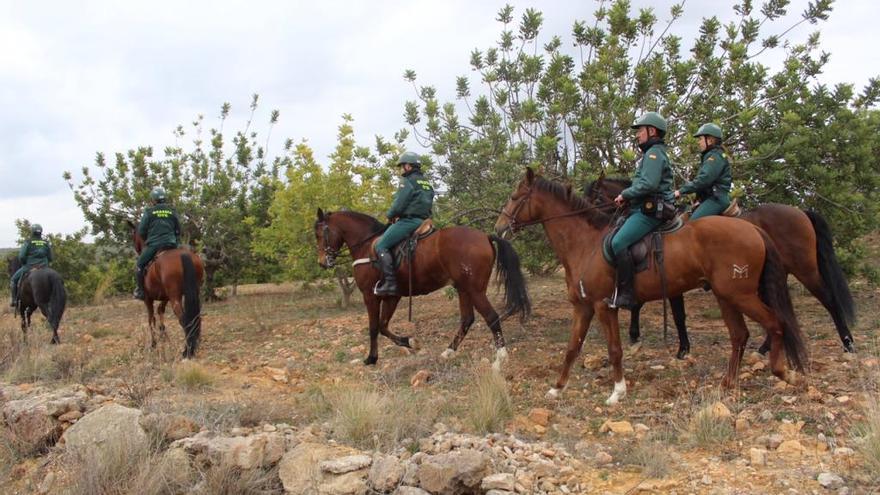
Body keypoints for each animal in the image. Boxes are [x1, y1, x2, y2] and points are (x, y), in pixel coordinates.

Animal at [125, 220, 205, 356]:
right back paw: (196, 343)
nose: (136, 249)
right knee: (195, 317)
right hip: (193, 293)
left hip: (175, 298)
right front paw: (163, 336)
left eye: (133, 234)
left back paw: (187, 350)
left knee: (184, 320)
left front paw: (153, 344)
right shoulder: (165, 297)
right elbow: (160, 310)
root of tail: (184, 254)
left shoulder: (148, 299)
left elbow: (151, 319)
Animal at [314, 207, 528, 366]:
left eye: (318, 234)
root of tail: (485, 236)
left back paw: (501, 356)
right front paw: (411, 342)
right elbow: (383, 326)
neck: (367, 246)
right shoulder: (392, 296)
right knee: (467, 319)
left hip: (475, 290)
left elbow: (374, 327)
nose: (323, 262)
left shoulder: (370, 295)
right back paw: (448, 352)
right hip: (463, 289)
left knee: (491, 317)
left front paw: (371, 358)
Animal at [492, 169, 808, 404]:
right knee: (739, 335)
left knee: (775, 324)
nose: (499, 228)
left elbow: (615, 349)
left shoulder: (603, 306)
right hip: (726, 296)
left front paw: (617, 392)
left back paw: (785, 373)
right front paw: (557, 388)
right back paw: (727, 383)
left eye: (515, 197)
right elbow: (572, 348)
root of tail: (752, 228)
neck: (586, 243)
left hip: (741, 295)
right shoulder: (582, 307)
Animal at [588, 176, 856, 358]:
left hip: (806, 271)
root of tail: (801, 211)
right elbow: (649, 306)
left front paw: (677, 348)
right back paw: (764, 348)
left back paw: (848, 343)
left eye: (596, 198)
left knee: (829, 299)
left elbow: (670, 313)